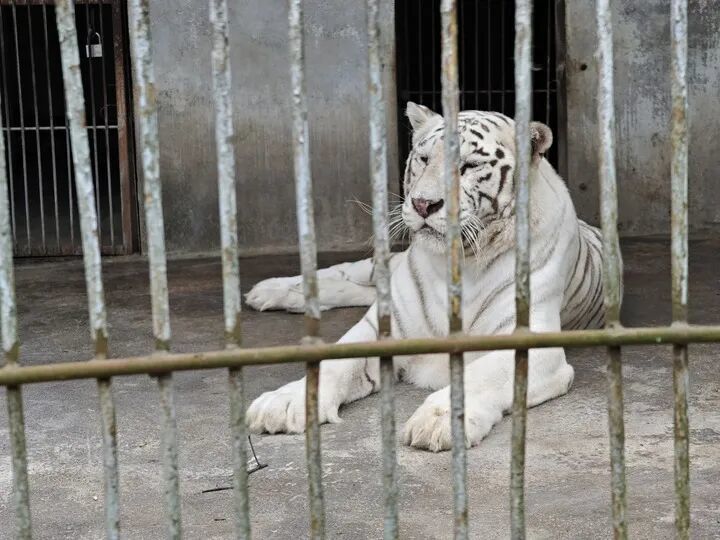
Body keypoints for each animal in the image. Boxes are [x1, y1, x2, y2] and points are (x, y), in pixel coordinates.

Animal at [244, 102, 621, 452]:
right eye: (423, 159)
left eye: (469, 166)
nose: (424, 204)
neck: (459, 262)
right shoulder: (383, 326)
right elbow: (335, 362)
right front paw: (285, 402)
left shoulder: (530, 341)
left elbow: (480, 376)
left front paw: (438, 421)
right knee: (346, 274)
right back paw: (270, 291)